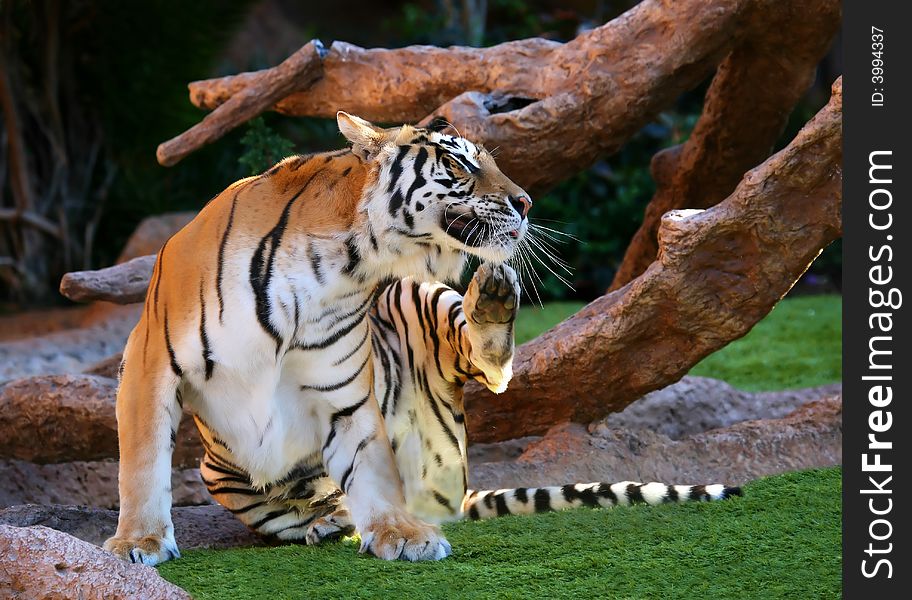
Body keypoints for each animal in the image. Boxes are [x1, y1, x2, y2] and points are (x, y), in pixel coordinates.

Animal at [105, 112, 740, 568]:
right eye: (459, 165)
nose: (526, 203)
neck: (347, 263)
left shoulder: (342, 388)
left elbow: (370, 460)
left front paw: (400, 533)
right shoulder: (149, 359)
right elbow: (142, 462)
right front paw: (137, 544)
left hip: (426, 298)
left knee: (490, 368)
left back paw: (494, 293)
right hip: (219, 470)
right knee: (298, 508)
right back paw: (323, 523)